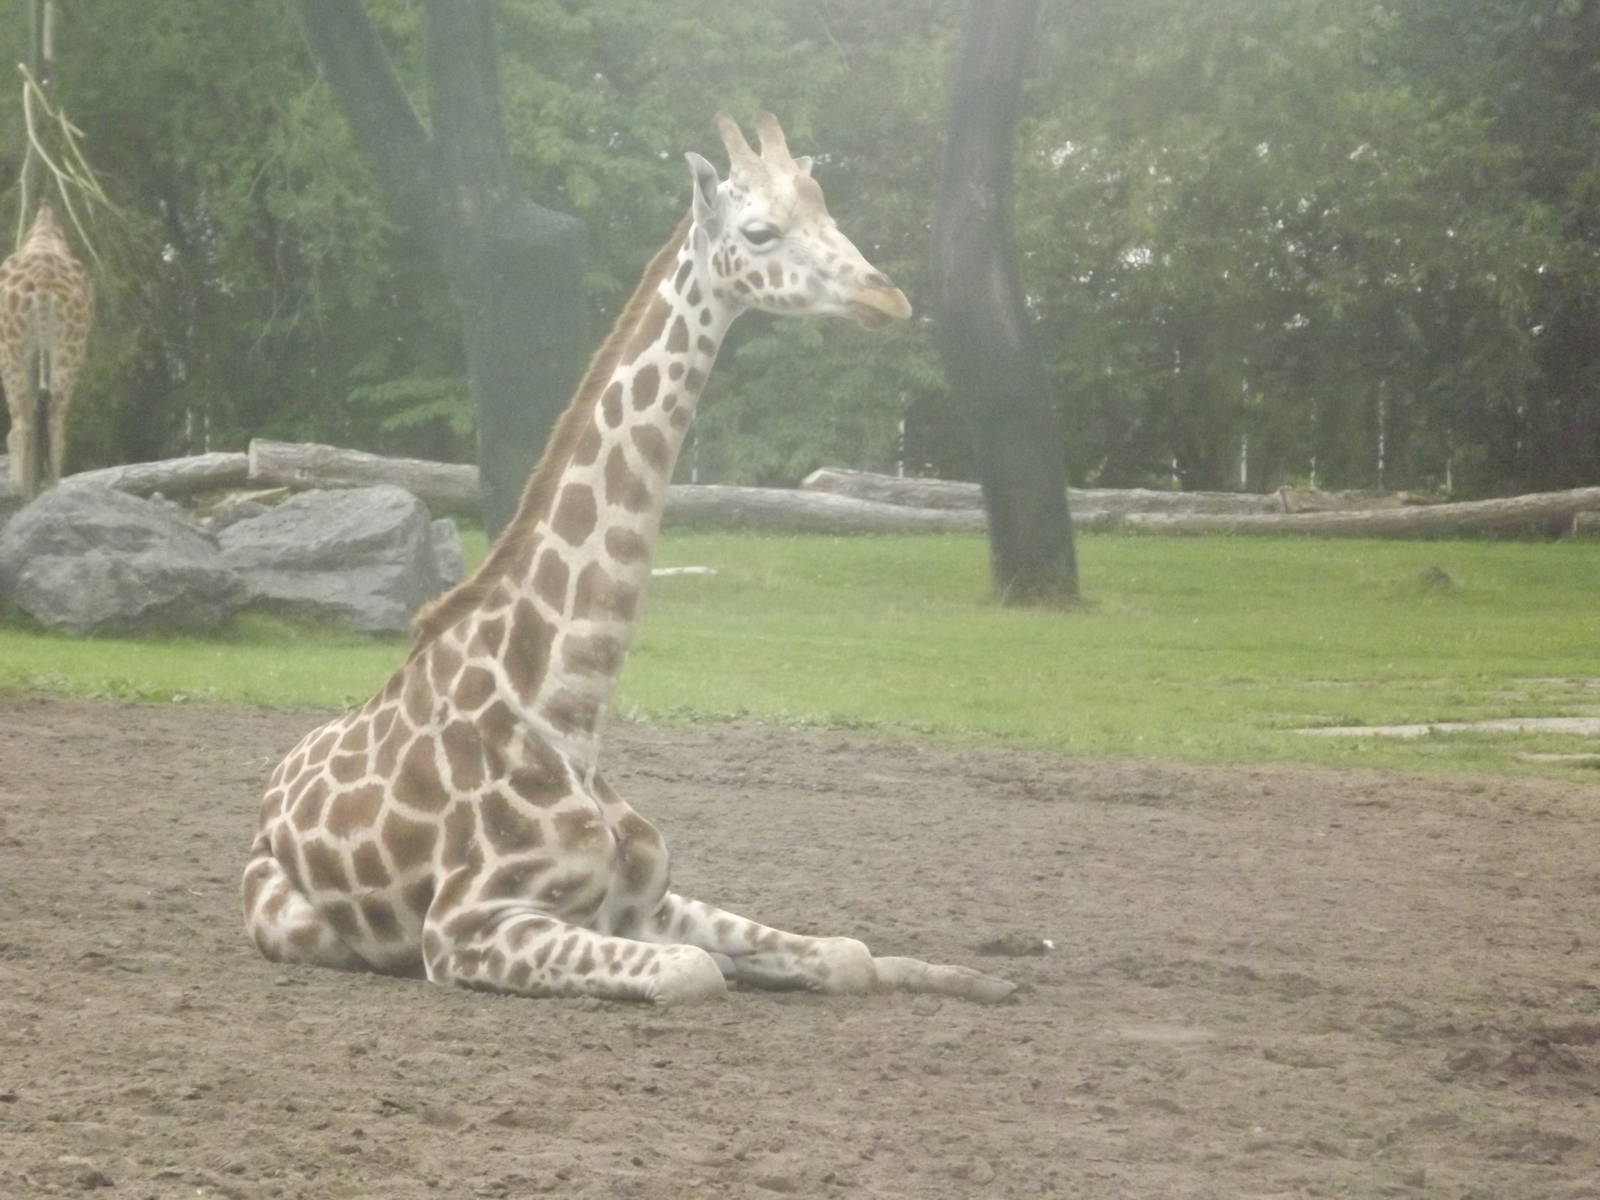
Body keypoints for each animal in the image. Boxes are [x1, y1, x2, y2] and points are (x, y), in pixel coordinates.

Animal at [0, 203, 94, 498]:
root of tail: (42, 286)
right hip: (65, 346)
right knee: (49, 418)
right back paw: (45, 489)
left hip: (16, 349)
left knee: (25, 424)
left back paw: (26, 492)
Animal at [242, 114, 1015, 1005]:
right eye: (760, 230)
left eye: (828, 210)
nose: (885, 296)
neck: (569, 712)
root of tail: (271, 787)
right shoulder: (467, 926)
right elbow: (695, 974)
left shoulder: (646, 899)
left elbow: (846, 955)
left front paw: (980, 979)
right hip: (296, 921)